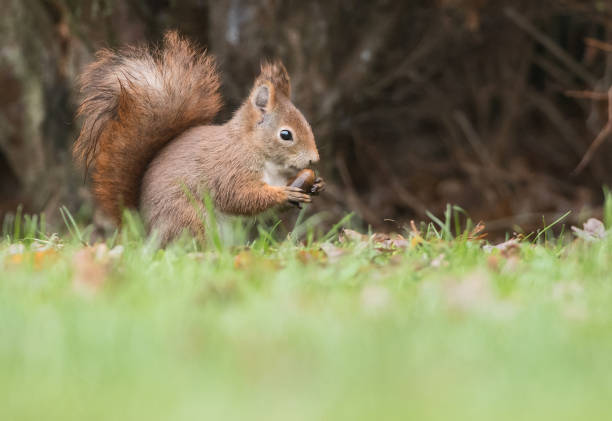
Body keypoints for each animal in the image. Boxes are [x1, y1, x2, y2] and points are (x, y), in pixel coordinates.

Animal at [74, 30, 322, 243]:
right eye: (285, 134)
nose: (314, 159)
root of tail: (147, 232)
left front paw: (315, 185)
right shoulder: (230, 168)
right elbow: (239, 197)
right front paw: (283, 193)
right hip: (189, 217)